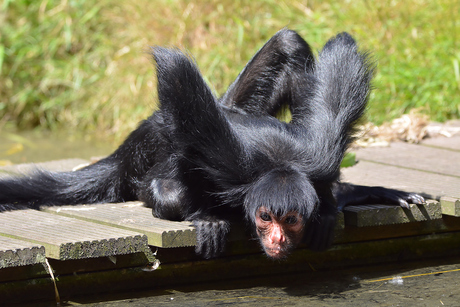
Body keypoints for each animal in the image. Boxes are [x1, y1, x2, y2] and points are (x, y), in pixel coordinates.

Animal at [0, 29, 424, 260]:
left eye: (290, 221)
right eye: (266, 218)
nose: (278, 238)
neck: (280, 164)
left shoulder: (318, 158)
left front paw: (349, 199)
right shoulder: (228, 164)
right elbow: (168, 183)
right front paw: (203, 217)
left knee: (288, 42)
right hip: (160, 139)